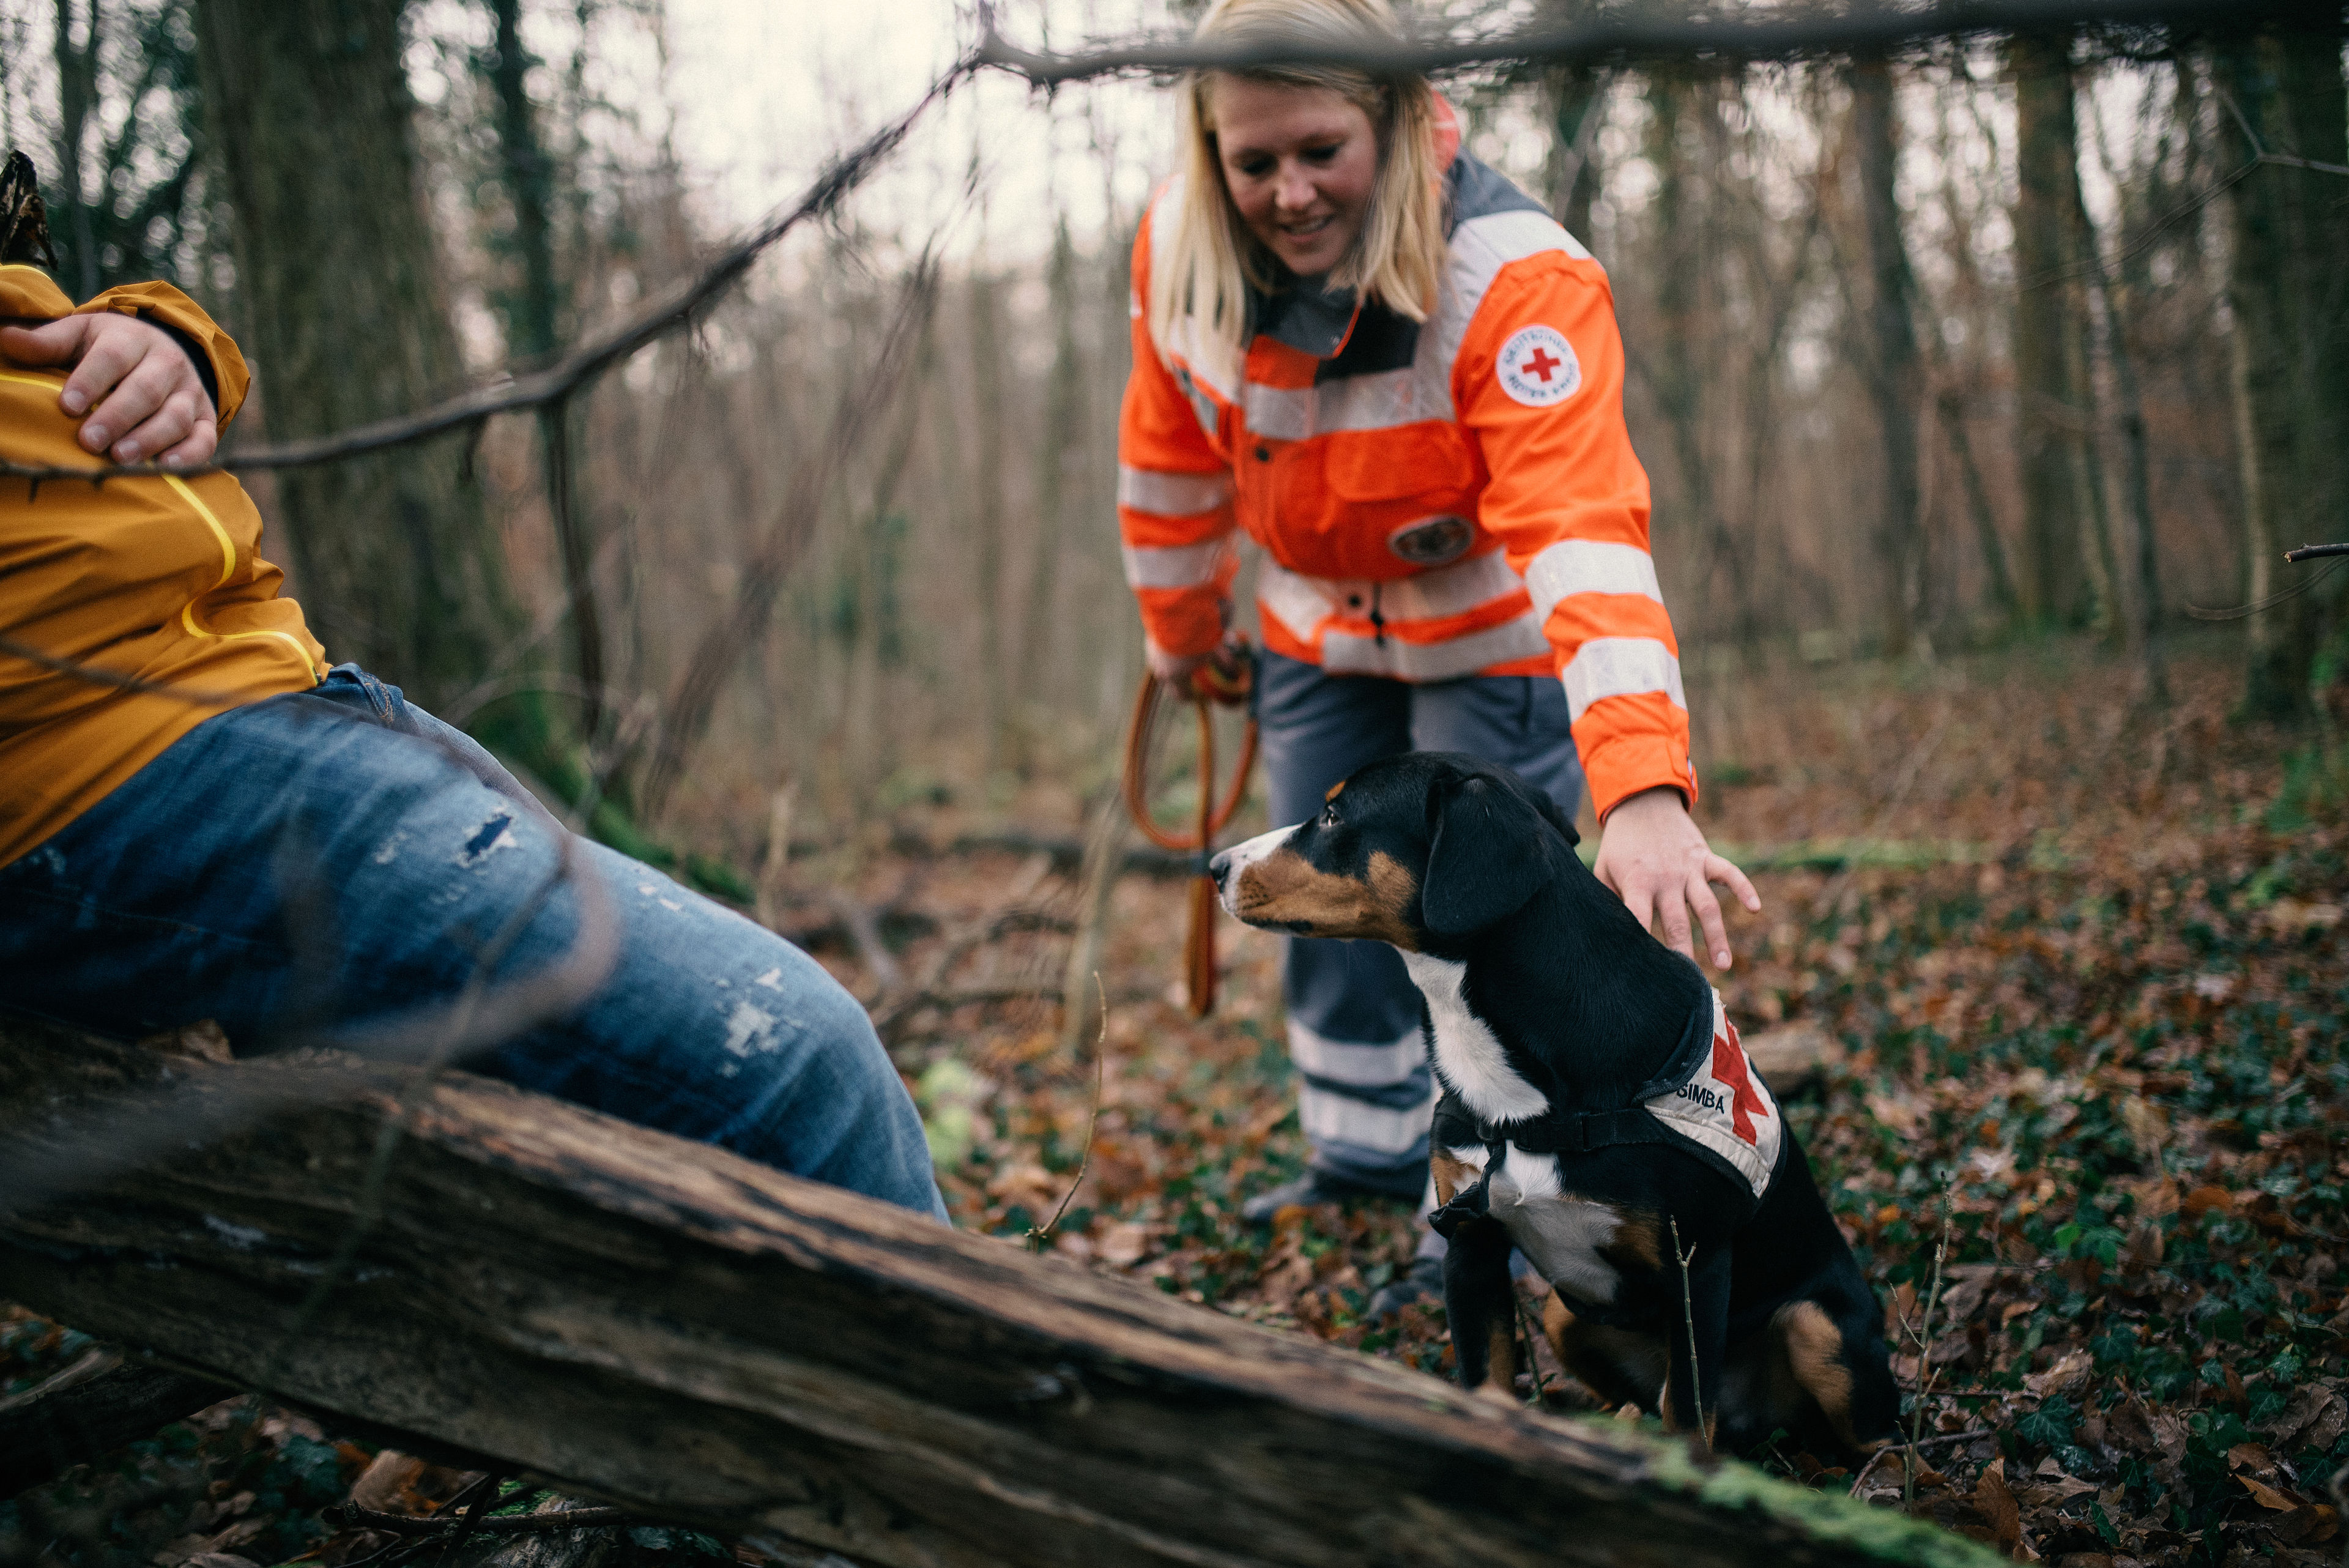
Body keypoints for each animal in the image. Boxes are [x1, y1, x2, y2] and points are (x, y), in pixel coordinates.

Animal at [1209, 751, 1896, 1457]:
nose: (1215, 866)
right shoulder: (1472, 1245)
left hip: (1819, 1328)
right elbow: (1486, 1383)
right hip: (1563, 1313)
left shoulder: (1698, 1267)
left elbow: (1686, 1417)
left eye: (1331, 815)